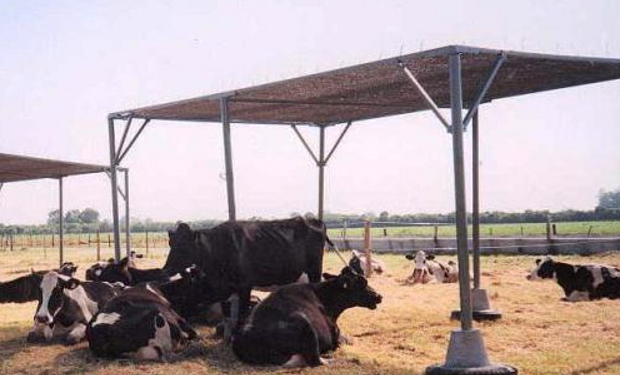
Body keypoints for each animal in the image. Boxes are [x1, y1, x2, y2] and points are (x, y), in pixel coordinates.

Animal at [231, 268, 380, 368]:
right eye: (362, 283)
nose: (379, 296)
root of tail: (245, 333)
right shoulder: (334, 334)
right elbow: (342, 341)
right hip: (305, 324)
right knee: (315, 360)